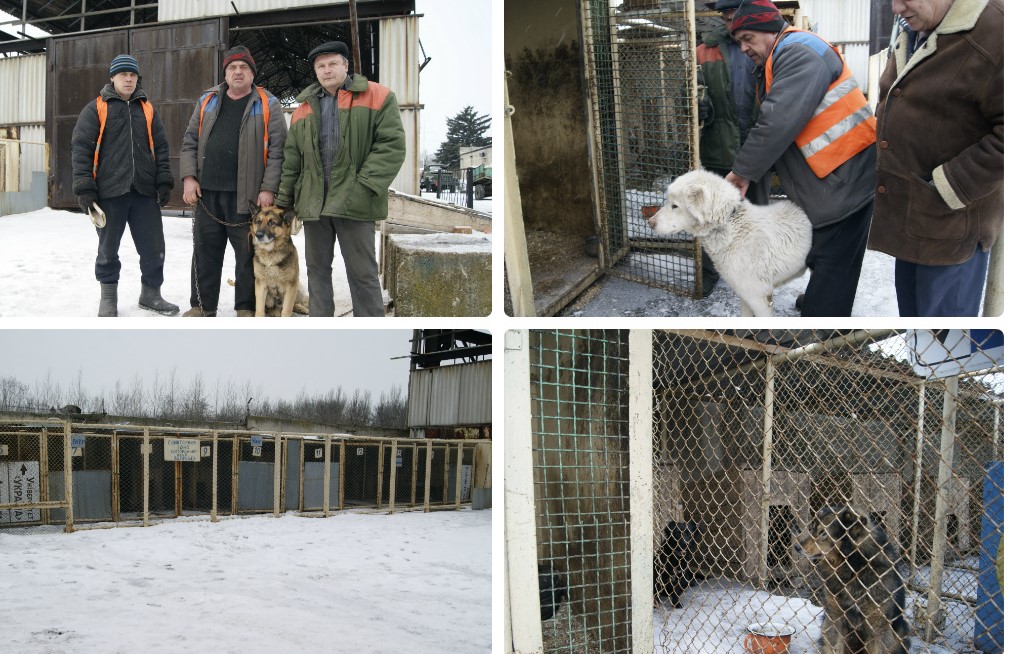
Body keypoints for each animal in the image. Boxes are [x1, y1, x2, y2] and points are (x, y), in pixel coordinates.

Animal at [795, 506, 916, 654]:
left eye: (823, 533)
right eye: (812, 529)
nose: (796, 547)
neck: (854, 568)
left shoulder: (879, 625)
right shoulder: (835, 616)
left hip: (901, 629)